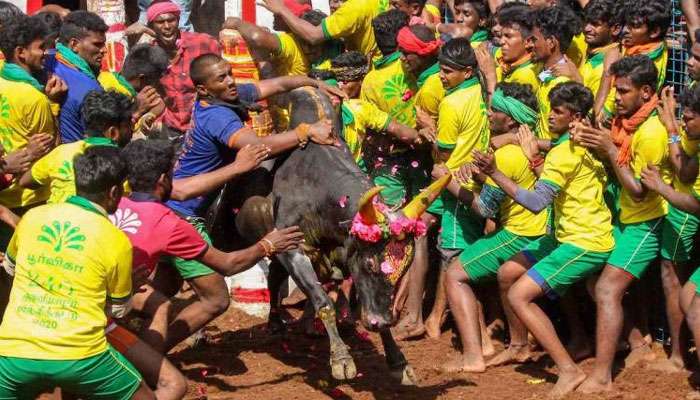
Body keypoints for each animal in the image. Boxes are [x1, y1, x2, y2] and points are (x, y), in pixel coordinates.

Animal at [206, 88, 416, 384]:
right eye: (370, 264)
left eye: (404, 269)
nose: (382, 321)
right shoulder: (292, 249)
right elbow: (323, 300)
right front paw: (341, 360)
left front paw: (399, 361)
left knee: (273, 279)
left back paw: (275, 322)